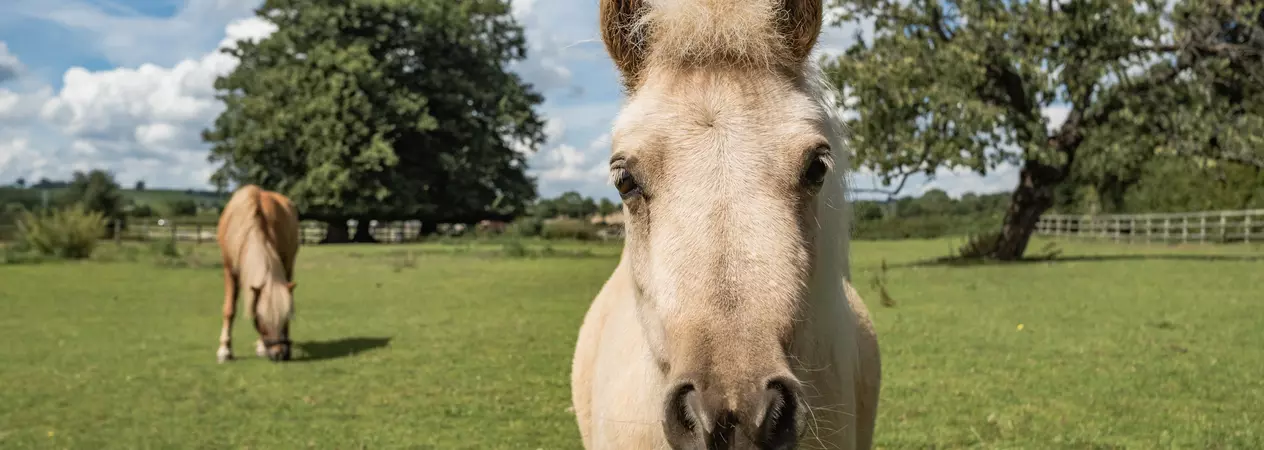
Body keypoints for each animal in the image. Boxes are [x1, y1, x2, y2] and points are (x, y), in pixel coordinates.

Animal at [215, 184, 300, 363]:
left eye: (286, 317)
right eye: (260, 319)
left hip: (289, 265)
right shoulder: (229, 270)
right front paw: (225, 350)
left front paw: (262, 346)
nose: (279, 353)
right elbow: (229, 310)